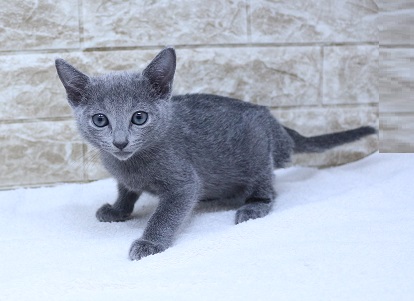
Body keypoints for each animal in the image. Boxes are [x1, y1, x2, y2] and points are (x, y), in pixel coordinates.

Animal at [54, 48, 376, 258]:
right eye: (100, 120)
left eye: (139, 117)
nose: (120, 142)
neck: (131, 163)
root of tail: (275, 123)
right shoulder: (124, 177)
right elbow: (126, 190)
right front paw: (118, 209)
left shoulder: (184, 183)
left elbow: (167, 213)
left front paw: (151, 243)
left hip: (258, 150)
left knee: (266, 187)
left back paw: (251, 207)